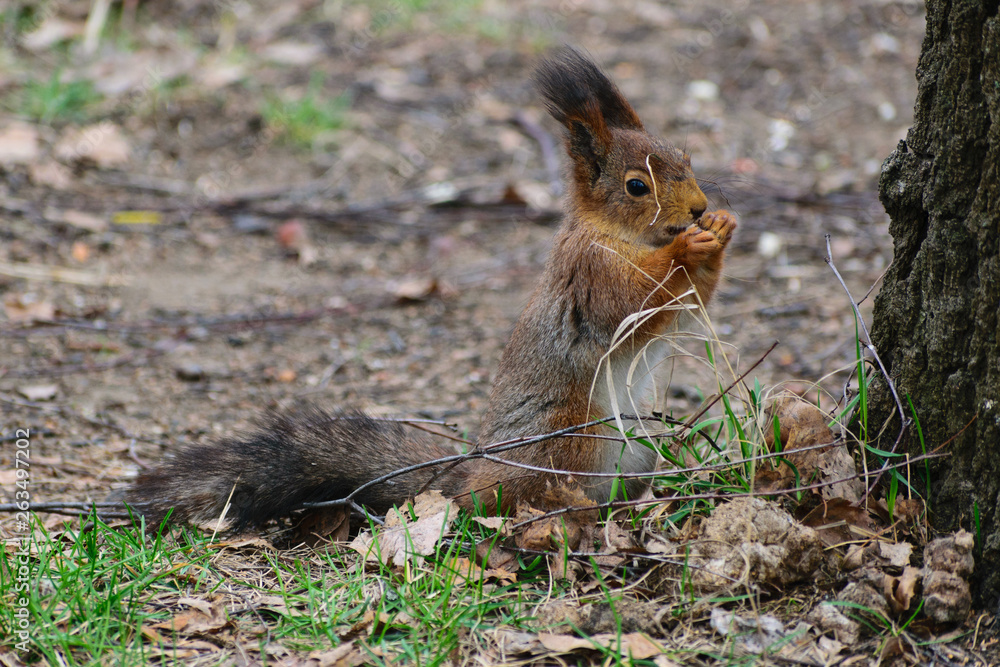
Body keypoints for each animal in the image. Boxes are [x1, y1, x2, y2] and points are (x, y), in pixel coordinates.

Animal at [123, 48, 736, 530]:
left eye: (684, 158)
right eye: (636, 186)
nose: (699, 208)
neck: (620, 235)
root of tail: (470, 478)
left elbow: (688, 301)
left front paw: (721, 230)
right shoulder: (589, 272)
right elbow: (636, 297)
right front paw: (688, 248)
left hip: (639, 449)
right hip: (568, 437)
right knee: (518, 501)